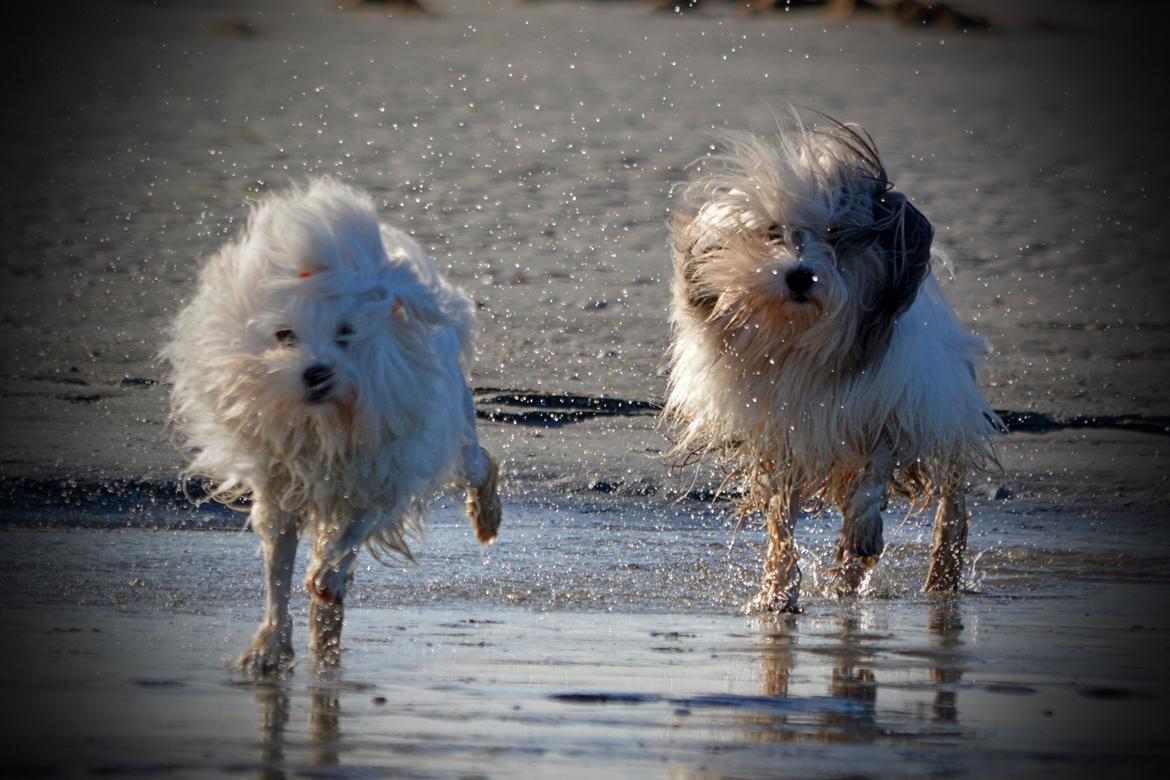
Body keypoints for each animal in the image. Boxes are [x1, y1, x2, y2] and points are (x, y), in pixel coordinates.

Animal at [162, 178, 500, 673]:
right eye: (284, 335)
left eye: (346, 333)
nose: (316, 372)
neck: (328, 423)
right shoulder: (281, 490)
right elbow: (278, 570)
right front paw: (270, 647)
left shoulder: (383, 474)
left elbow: (355, 528)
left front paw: (327, 575)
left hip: (454, 439)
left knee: (480, 466)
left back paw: (485, 517)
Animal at [664, 119, 1001, 612]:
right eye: (773, 231)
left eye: (837, 236)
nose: (801, 274)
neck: (799, 340)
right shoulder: (782, 437)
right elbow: (780, 521)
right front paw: (777, 591)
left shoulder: (887, 408)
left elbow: (874, 476)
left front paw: (863, 530)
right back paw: (846, 581)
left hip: (940, 414)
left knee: (952, 502)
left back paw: (939, 573)